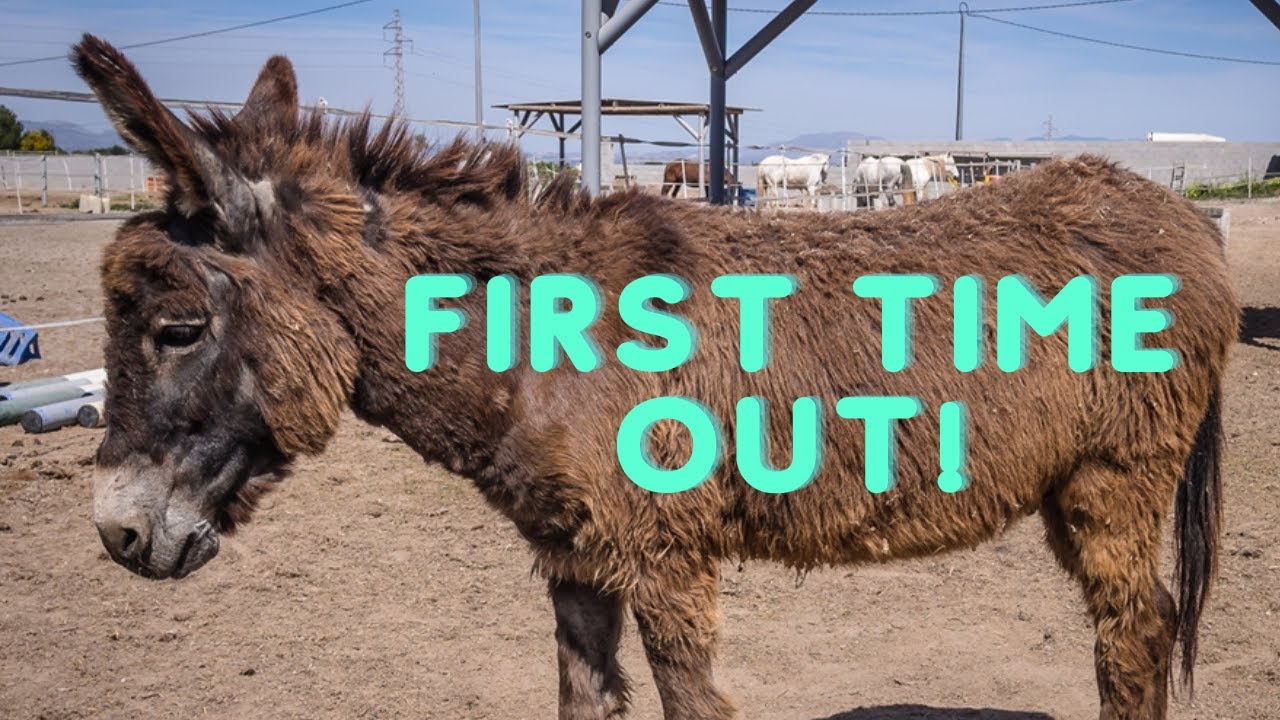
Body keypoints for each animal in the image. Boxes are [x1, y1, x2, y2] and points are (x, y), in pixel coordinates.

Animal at [77, 35, 1235, 720]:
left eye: (177, 328)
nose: (117, 535)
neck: (540, 354)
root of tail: (1170, 208)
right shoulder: (573, 556)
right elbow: (585, 701)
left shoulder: (667, 554)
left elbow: (692, 704)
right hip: (1072, 488)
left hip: (1114, 481)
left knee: (1134, 633)